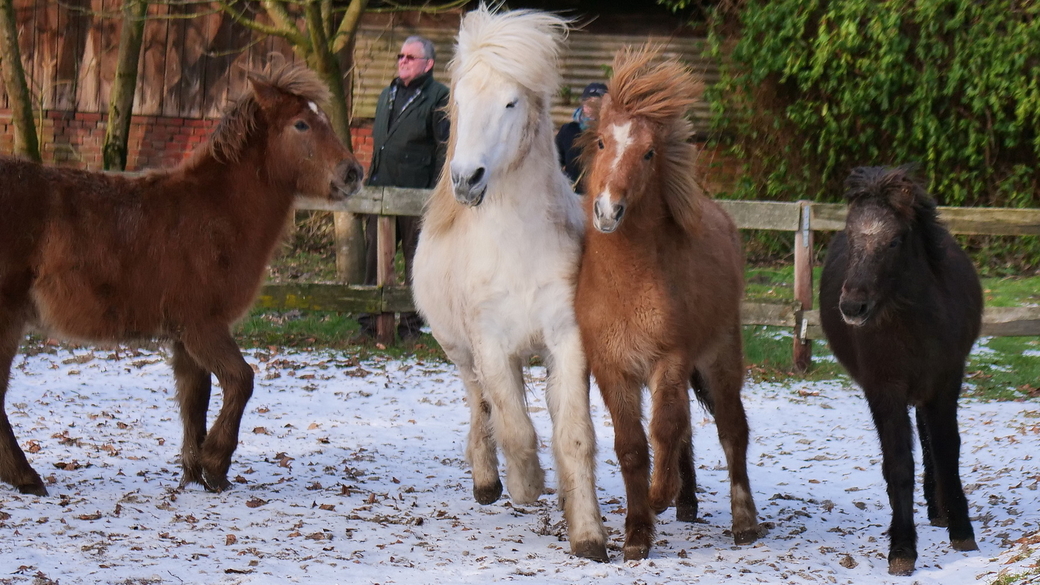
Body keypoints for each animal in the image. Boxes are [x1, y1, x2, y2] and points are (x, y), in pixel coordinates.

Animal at [0, 61, 366, 493]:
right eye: (301, 124)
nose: (353, 173)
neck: (213, 213)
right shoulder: (202, 326)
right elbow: (241, 380)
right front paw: (216, 462)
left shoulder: (184, 339)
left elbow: (195, 398)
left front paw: (196, 472)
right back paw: (26, 477)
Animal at [411, 5, 607, 562]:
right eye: (459, 101)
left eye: (510, 101)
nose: (466, 179)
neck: (519, 249)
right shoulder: (490, 345)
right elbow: (515, 429)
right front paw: (526, 485)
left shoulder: (567, 341)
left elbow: (574, 436)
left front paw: (588, 534)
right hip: (460, 352)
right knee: (482, 407)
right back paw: (488, 483)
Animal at [574, 47, 761, 557]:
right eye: (601, 142)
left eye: (649, 153)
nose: (608, 210)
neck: (628, 285)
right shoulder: (612, 368)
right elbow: (633, 446)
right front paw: (637, 533)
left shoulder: (670, 361)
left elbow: (663, 431)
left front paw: (659, 497)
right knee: (688, 432)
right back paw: (688, 501)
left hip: (720, 356)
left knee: (731, 430)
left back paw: (743, 521)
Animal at [819, 164, 981, 574]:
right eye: (851, 238)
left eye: (893, 242)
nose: (852, 307)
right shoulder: (883, 389)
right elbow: (898, 464)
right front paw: (902, 547)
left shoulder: (945, 383)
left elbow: (947, 452)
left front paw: (962, 529)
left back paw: (940, 510)